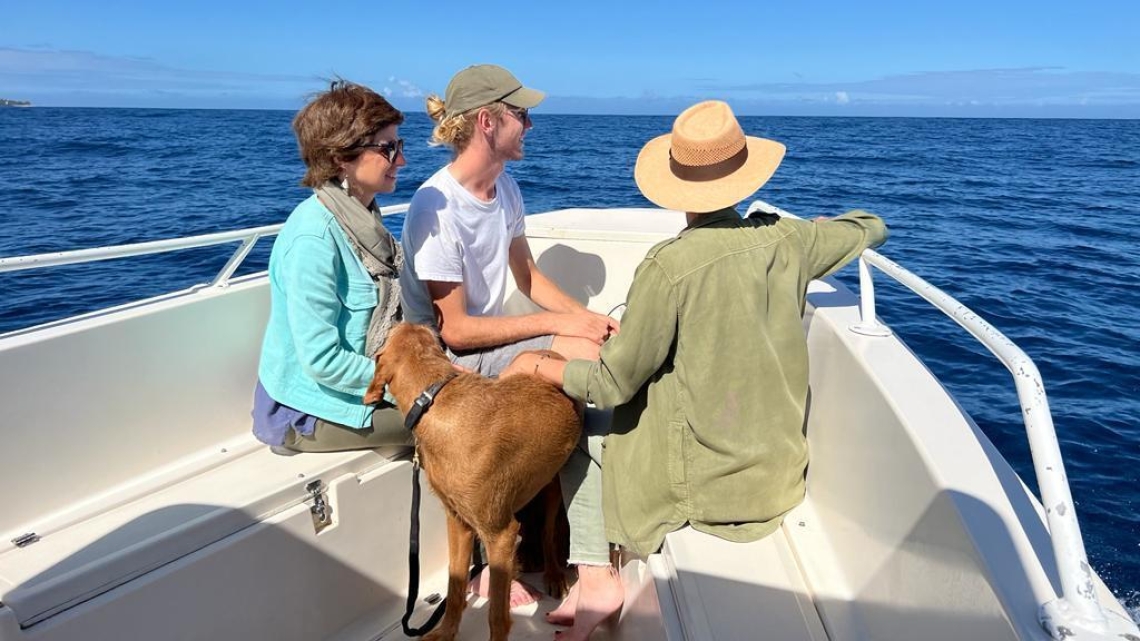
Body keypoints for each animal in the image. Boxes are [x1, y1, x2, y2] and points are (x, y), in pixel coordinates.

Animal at [364, 323, 579, 638]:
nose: (407, 321)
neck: (433, 399)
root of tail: (554, 354)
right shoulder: (458, 522)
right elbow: (455, 588)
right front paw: (445, 632)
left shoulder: (499, 534)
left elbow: (497, 616)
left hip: (553, 486)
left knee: (548, 531)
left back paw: (552, 573)